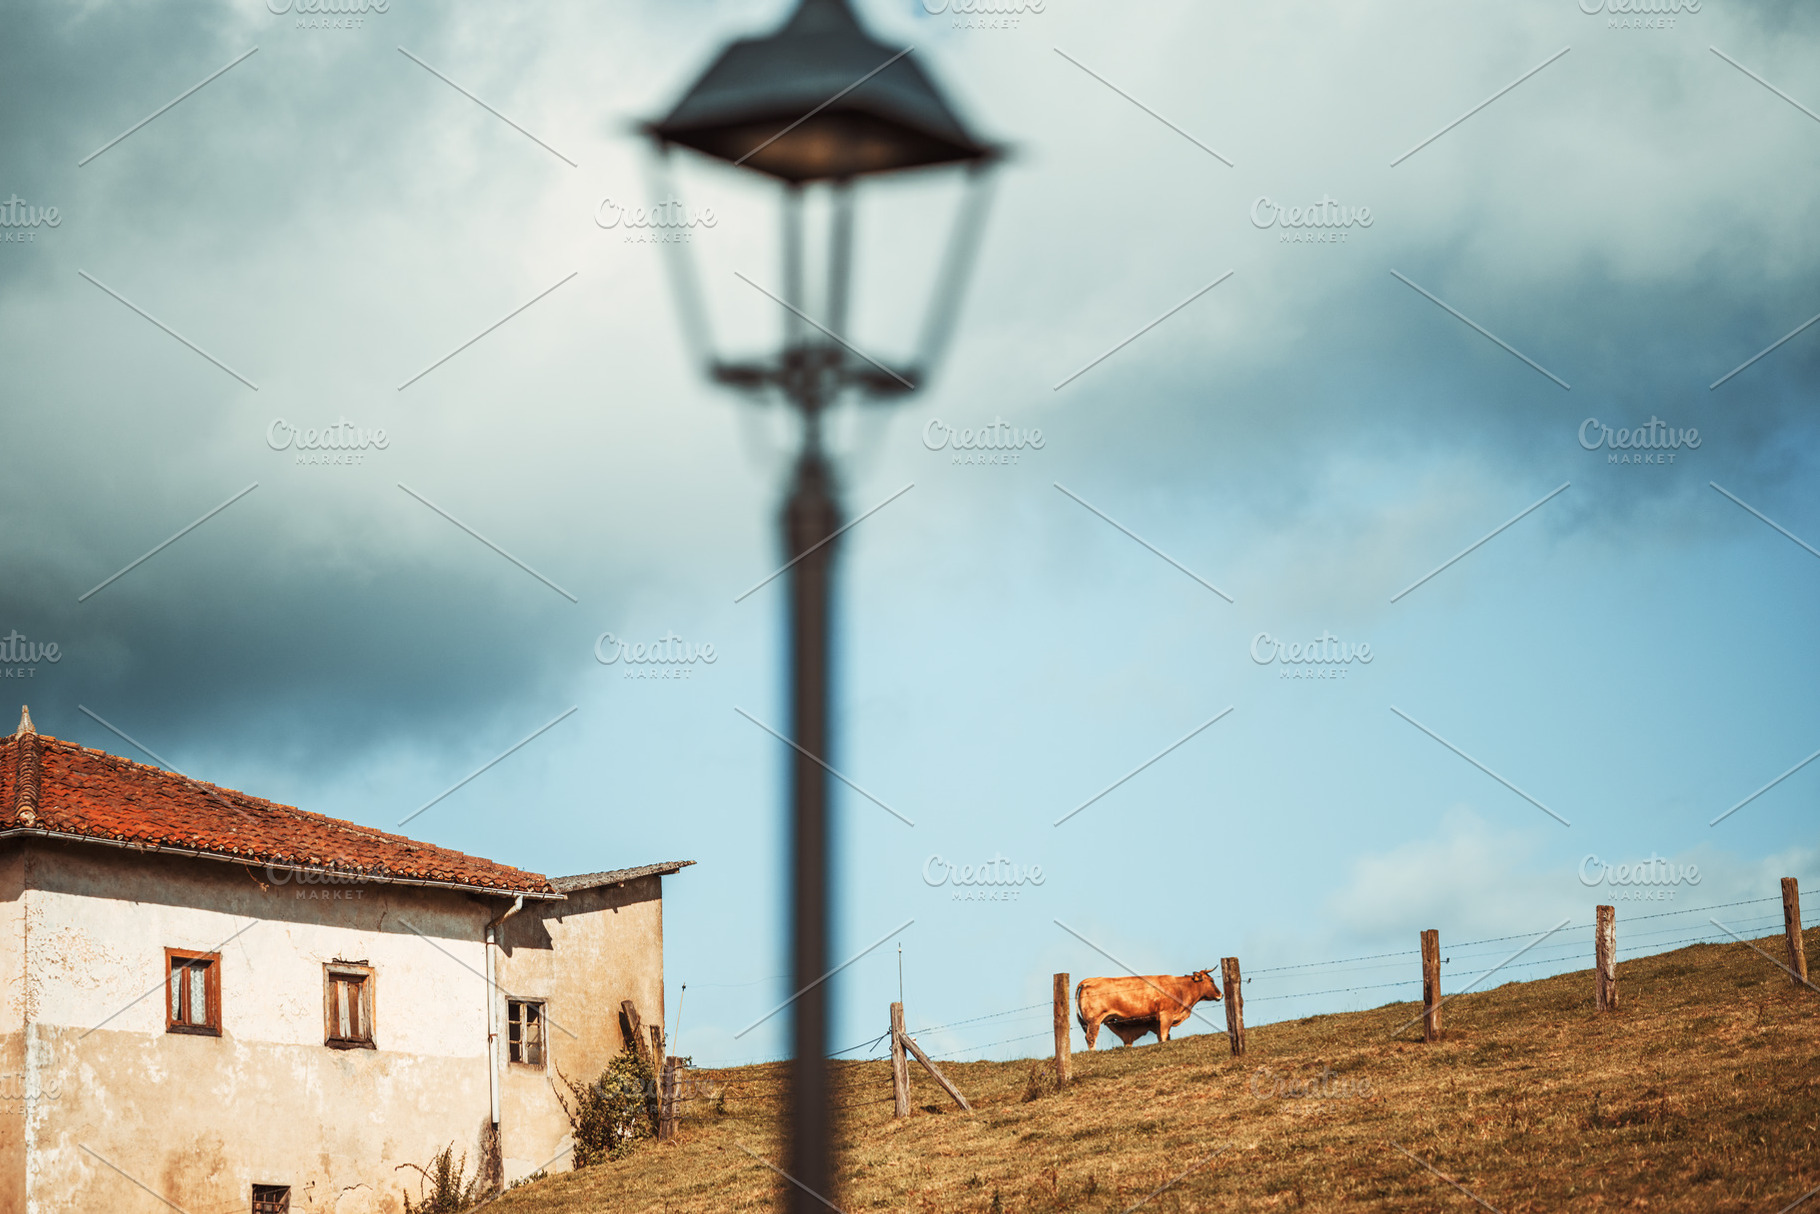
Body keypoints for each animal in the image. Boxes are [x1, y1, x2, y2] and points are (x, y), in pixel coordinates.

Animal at [1075, 970, 1221, 1049]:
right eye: (1212, 980)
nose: (1221, 994)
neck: (1180, 988)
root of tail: (1090, 980)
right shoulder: (1166, 1015)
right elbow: (1164, 1035)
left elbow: (1163, 1036)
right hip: (1094, 1021)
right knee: (1090, 1038)